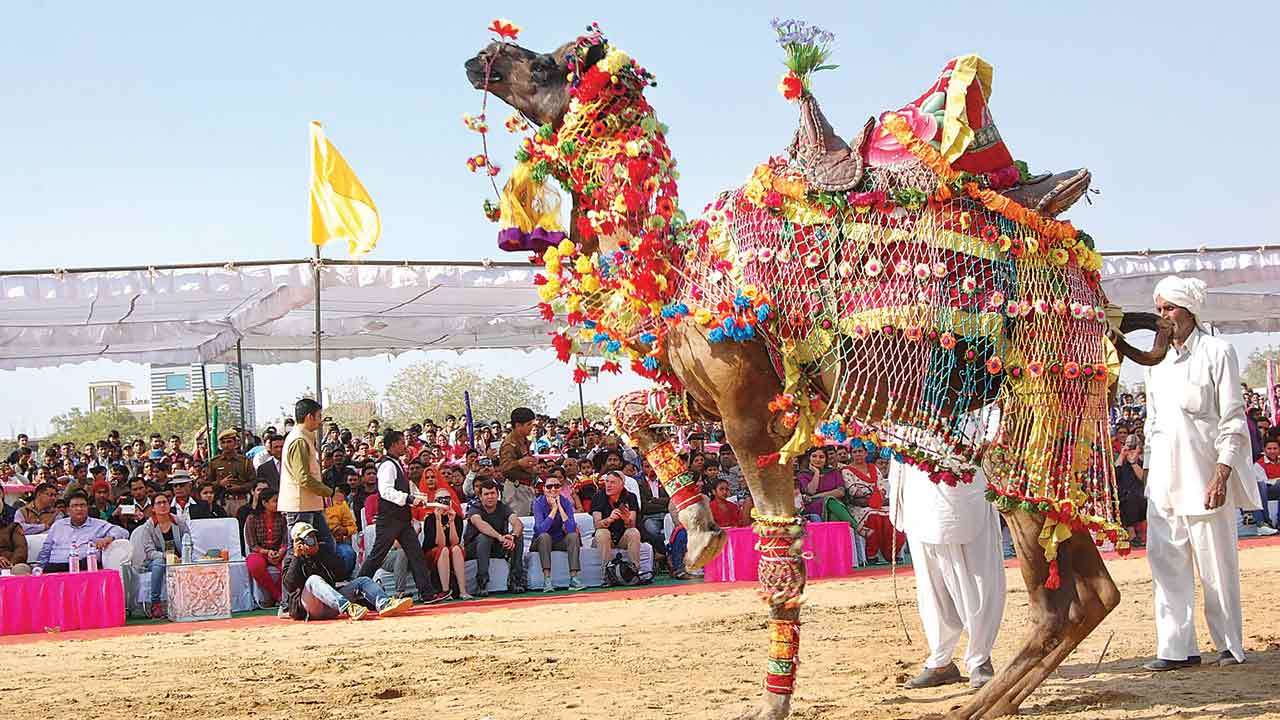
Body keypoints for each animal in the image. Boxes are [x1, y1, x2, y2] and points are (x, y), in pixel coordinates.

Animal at [463, 19, 1172, 712]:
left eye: (551, 63)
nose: (482, 56)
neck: (678, 270)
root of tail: (1101, 297)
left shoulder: (750, 414)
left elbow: (780, 560)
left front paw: (769, 703)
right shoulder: (712, 394)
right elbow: (629, 409)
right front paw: (700, 530)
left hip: (1042, 409)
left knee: (1069, 589)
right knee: (1085, 593)